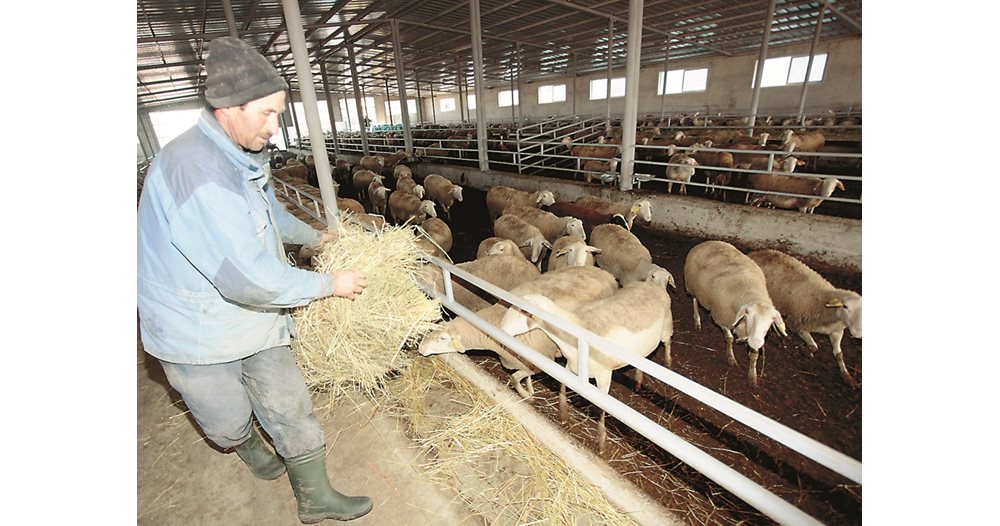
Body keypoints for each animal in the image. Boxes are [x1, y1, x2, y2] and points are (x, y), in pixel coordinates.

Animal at [500, 280, 672, 454]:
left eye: (522, 311)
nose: (501, 328)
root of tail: (653, 284)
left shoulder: (604, 376)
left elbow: (600, 409)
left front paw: (601, 440)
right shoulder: (571, 367)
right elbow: (562, 389)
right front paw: (563, 414)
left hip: (666, 327)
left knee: (667, 343)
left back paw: (668, 361)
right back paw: (638, 380)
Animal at [684, 242, 784, 388]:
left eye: (771, 320)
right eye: (747, 313)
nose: (756, 341)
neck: (751, 293)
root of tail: (707, 242)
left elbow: (754, 356)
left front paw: (752, 377)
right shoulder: (723, 318)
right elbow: (729, 339)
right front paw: (731, 359)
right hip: (692, 287)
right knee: (695, 301)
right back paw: (697, 321)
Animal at [752, 250, 860, 390]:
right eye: (845, 307)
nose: (858, 333)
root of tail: (758, 252)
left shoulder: (836, 331)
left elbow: (838, 354)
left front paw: (847, 377)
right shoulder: (797, 324)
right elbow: (814, 347)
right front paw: (805, 351)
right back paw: (778, 338)